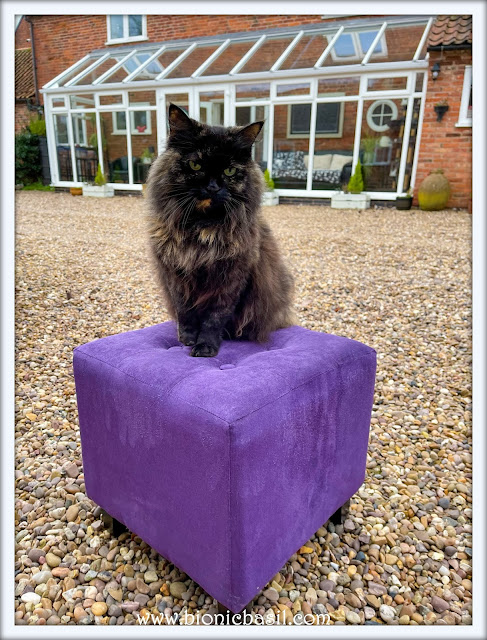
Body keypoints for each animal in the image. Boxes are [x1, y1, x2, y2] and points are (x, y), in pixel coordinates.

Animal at [147, 102, 296, 358]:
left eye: (229, 171)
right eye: (196, 164)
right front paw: (187, 339)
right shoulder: (176, 275)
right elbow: (185, 311)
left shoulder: (231, 278)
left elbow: (214, 318)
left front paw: (205, 346)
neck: (201, 228)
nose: (213, 187)